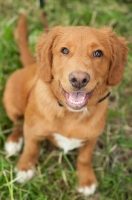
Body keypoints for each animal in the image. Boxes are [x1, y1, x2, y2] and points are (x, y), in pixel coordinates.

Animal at [3, 14, 128, 196]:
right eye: (64, 50)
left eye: (98, 53)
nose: (79, 80)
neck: (71, 113)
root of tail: (33, 65)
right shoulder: (32, 130)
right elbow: (31, 148)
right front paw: (25, 167)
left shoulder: (91, 137)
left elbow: (84, 158)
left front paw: (86, 179)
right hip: (11, 103)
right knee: (18, 123)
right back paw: (13, 141)